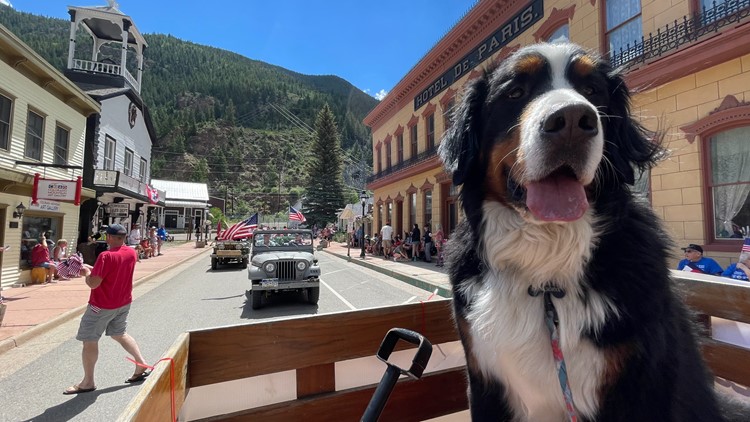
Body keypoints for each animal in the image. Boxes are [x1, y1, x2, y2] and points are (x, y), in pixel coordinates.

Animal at [438, 43, 748, 422]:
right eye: (515, 92)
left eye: (591, 90)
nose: (572, 120)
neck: (546, 273)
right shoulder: (485, 383)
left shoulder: (641, 389)